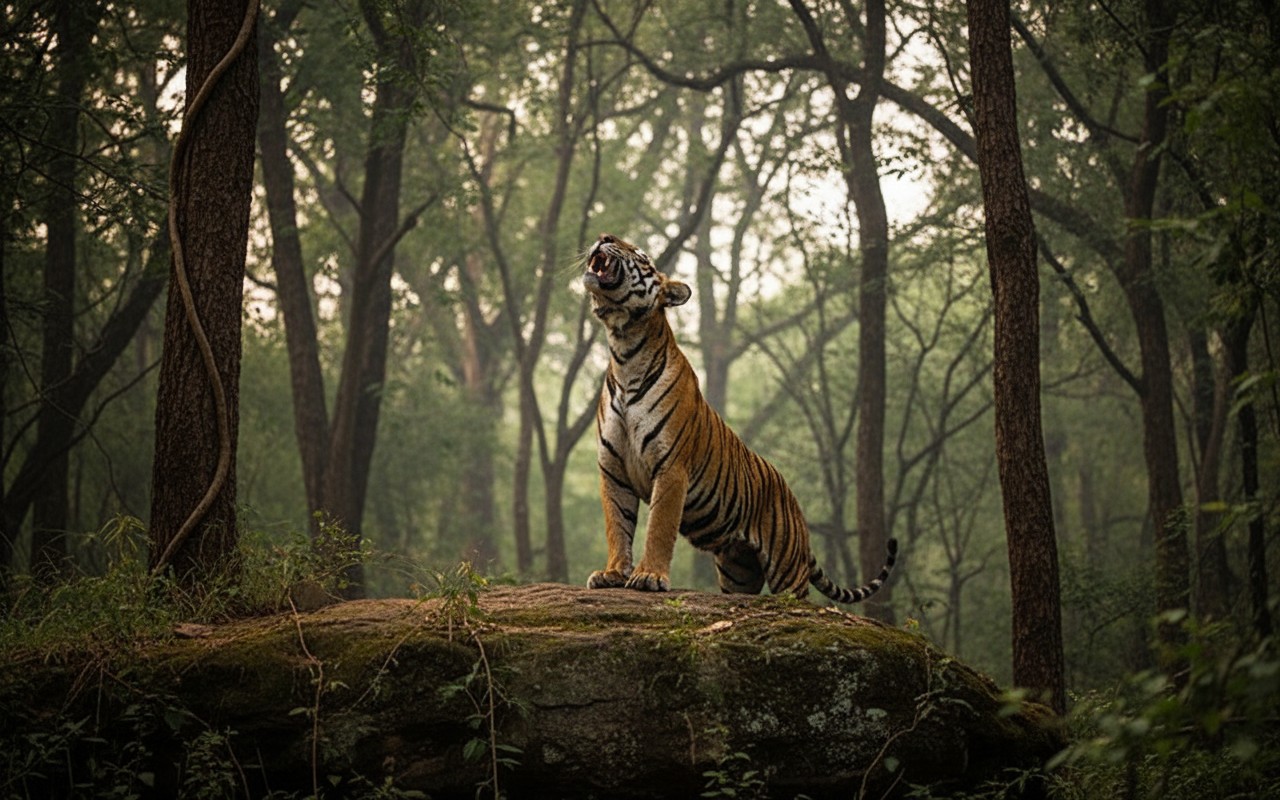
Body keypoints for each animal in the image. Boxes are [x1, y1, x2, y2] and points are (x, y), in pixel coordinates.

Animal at [582, 232, 897, 603]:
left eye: (640, 253)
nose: (604, 236)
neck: (624, 350)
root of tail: (794, 502)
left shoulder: (671, 467)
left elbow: (659, 526)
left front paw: (649, 576)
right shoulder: (613, 470)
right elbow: (617, 526)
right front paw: (613, 573)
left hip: (788, 569)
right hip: (738, 569)